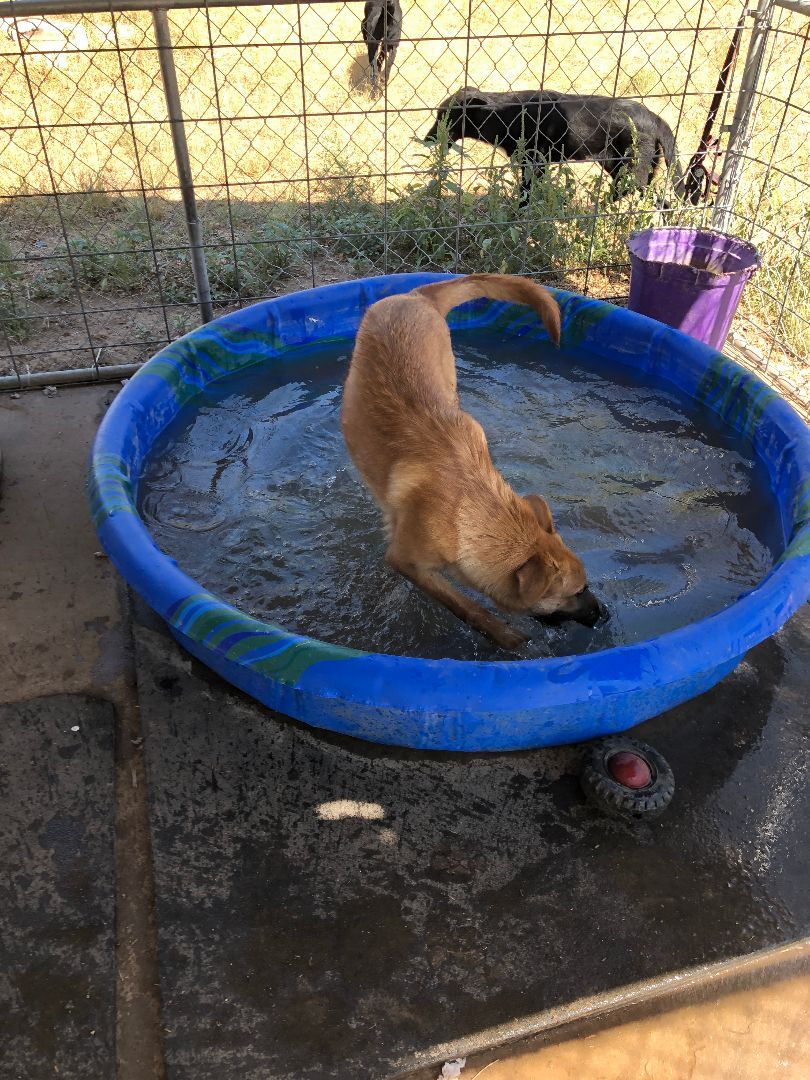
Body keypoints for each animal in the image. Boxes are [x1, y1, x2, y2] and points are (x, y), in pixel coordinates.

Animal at [339, 274, 600, 652]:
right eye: (578, 592)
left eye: (586, 587)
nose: (604, 615)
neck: (469, 505)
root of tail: (416, 296)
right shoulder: (407, 561)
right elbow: (464, 604)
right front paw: (505, 636)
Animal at [425, 86, 691, 203]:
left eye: (443, 117)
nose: (427, 139)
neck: (503, 114)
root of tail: (654, 117)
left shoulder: (534, 165)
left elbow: (525, 196)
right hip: (622, 168)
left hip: (629, 169)